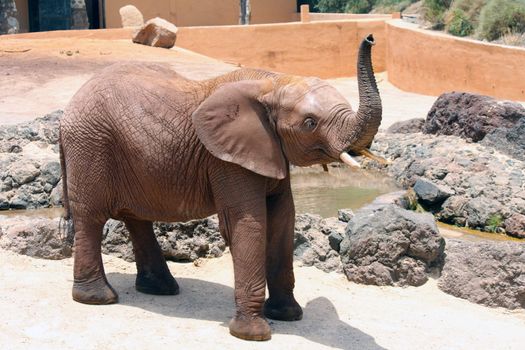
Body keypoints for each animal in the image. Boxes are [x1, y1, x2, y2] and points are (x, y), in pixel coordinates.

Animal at [59, 34, 382, 340]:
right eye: (310, 123)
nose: (370, 38)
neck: (273, 82)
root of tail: (67, 110)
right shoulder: (225, 159)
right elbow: (249, 223)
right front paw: (253, 334)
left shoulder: (269, 151)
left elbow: (283, 219)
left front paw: (288, 316)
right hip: (90, 145)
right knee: (92, 217)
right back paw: (98, 298)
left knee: (136, 218)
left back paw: (161, 289)